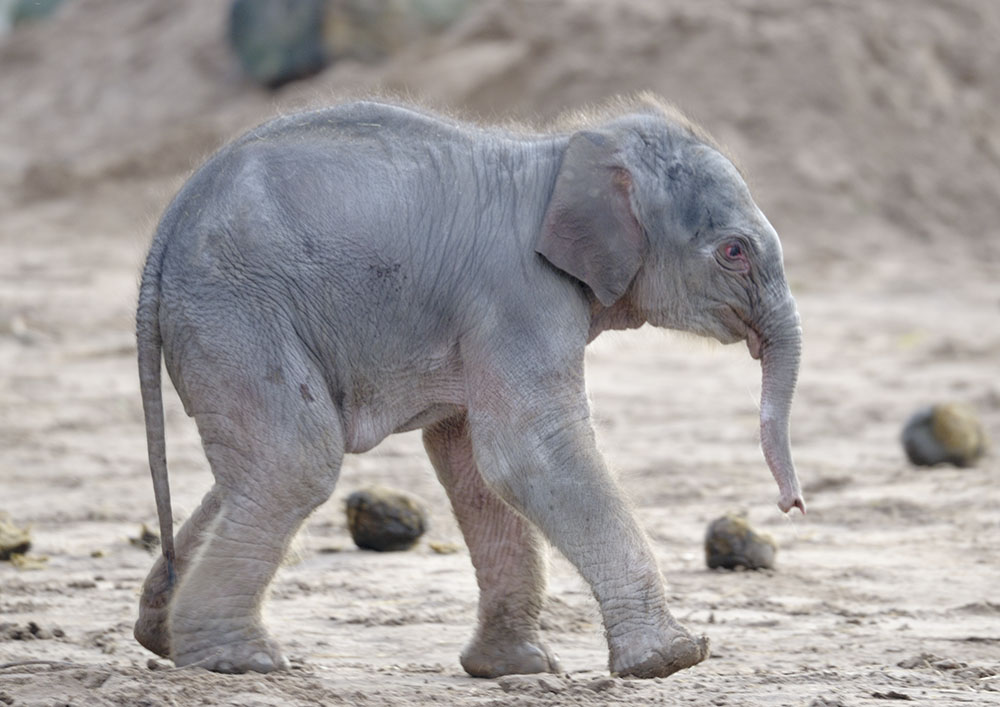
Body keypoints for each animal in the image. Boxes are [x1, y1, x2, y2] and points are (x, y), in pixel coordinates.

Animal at [134, 94, 804, 678]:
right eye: (734, 252)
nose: (790, 506)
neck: (563, 155)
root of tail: (164, 232)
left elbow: (472, 463)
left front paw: (517, 669)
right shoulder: (519, 294)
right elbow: (527, 453)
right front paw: (671, 660)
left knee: (255, 468)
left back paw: (163, 637)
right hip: (237, 312)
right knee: (296, 458)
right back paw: (239, 661)